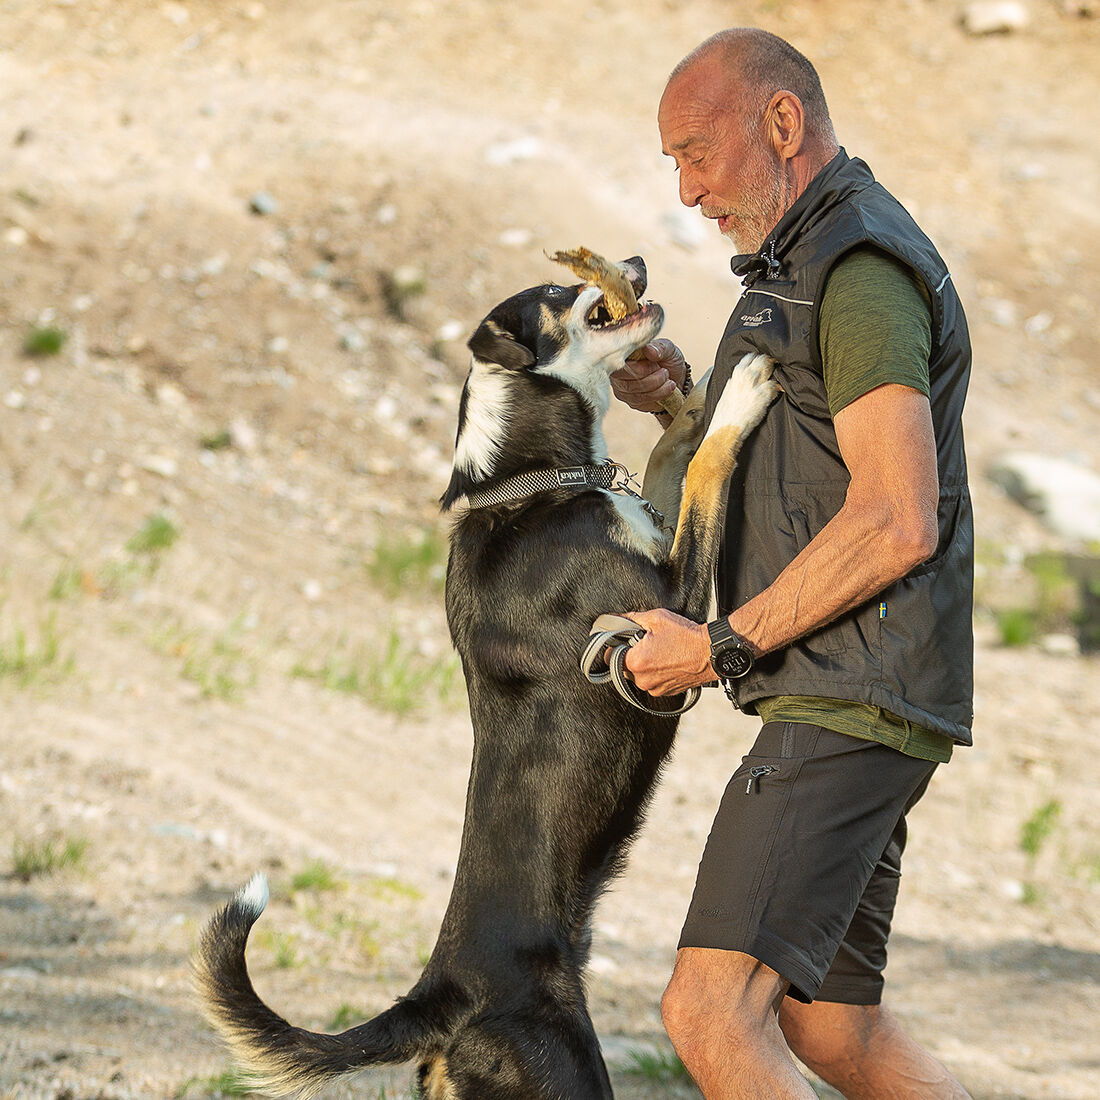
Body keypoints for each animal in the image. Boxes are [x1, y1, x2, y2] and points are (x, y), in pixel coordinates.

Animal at [195, 259, 783, 1100]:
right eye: (553, 293)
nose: (636, 263)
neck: (531, 480)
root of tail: (441, 994)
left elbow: (673, 457)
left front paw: (693, 400)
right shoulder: (667, 623)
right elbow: (706, 466)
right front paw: (737, 394)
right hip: (564, 1074)